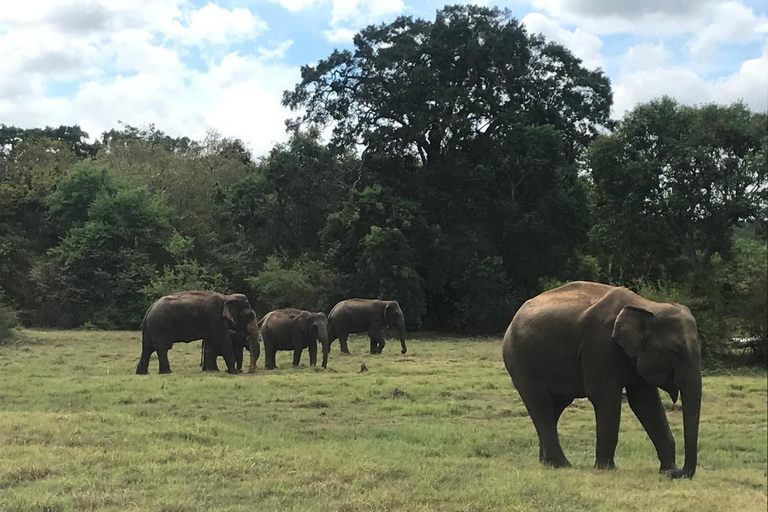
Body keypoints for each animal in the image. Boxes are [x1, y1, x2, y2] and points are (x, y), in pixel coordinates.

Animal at [500, 282, 700, 478]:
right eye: (675, 351)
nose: (677, 473)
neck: (647, 305)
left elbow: (645, 402)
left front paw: (666, 469)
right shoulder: (599, 346)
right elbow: (606, 397)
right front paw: (606, 469)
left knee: (555, 405)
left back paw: (547, 463)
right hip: (520, 361)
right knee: (539, 402)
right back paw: (562, 464)